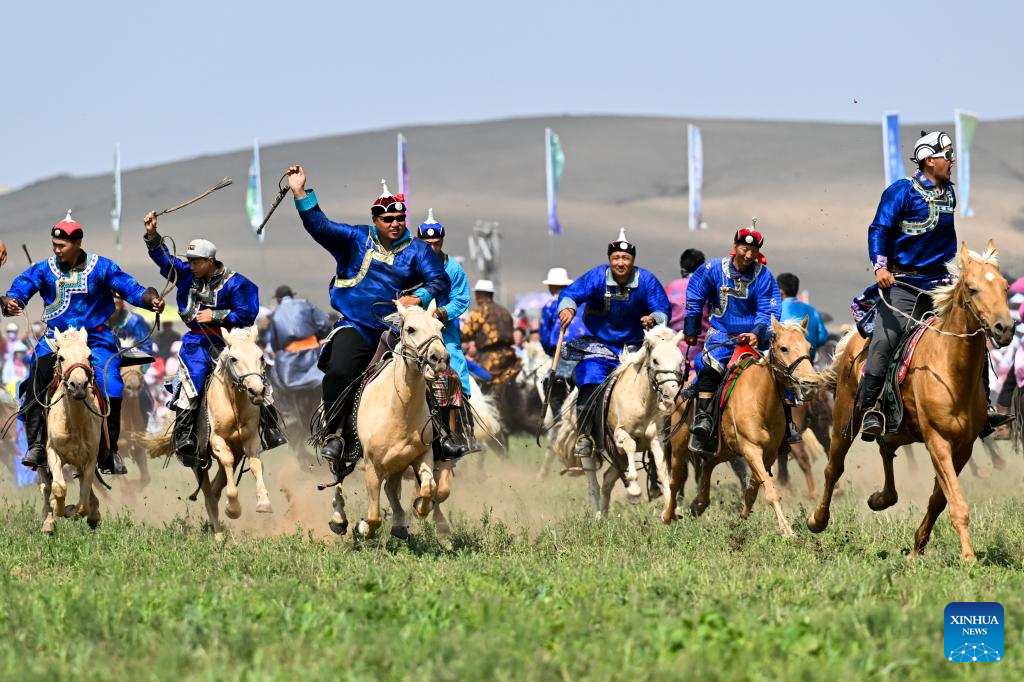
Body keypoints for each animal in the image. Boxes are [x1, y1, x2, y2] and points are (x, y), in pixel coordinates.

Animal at [38, 327, 102, 532]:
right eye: (61, 357)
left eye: (89, 356)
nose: (78, 386)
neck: (74, 423)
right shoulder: (52, 452)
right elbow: (59, 488)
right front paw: (58, 508)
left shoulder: (89, 460)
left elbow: (83, 502)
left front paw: (74, 509)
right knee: (45, 485)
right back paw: (48, 521)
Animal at [148, 327, 274, 540]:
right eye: (234, 358)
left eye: (261, 356)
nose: (256, 391)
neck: (234, 404)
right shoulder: (217, 441)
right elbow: (227, 466)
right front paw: (233, 508)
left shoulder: (251, 440)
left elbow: (256, 465)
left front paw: (264, 502)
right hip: (197, 462)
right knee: (209, 496)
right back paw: (218, 536)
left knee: (216, 489)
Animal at [663, 315, 815, 532]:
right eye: (784, 348)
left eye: (808, 347)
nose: (809, 383)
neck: (761, 400)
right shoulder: (751, 449)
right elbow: (769, 490)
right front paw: (787, 530)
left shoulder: (769, 453)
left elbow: (755, 486)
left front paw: (743, 515)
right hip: (680, 443)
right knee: (675, 480)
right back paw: (668, 516)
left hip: (725, 447)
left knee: (708, 464)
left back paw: (699, 504)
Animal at [806, 241, 1015, 561]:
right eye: (972, 288)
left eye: (1005, 287)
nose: (1005, 327)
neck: (950, 369)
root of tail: (854, 338)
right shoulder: (938, 441)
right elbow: (956, 502)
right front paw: (968, 557)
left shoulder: (963, 447)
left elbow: (940, 499)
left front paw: (917, 548)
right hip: (844, 416)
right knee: (834, 467)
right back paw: (818, 520)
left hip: (898, 428)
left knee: (886, 450)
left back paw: (880, 498)